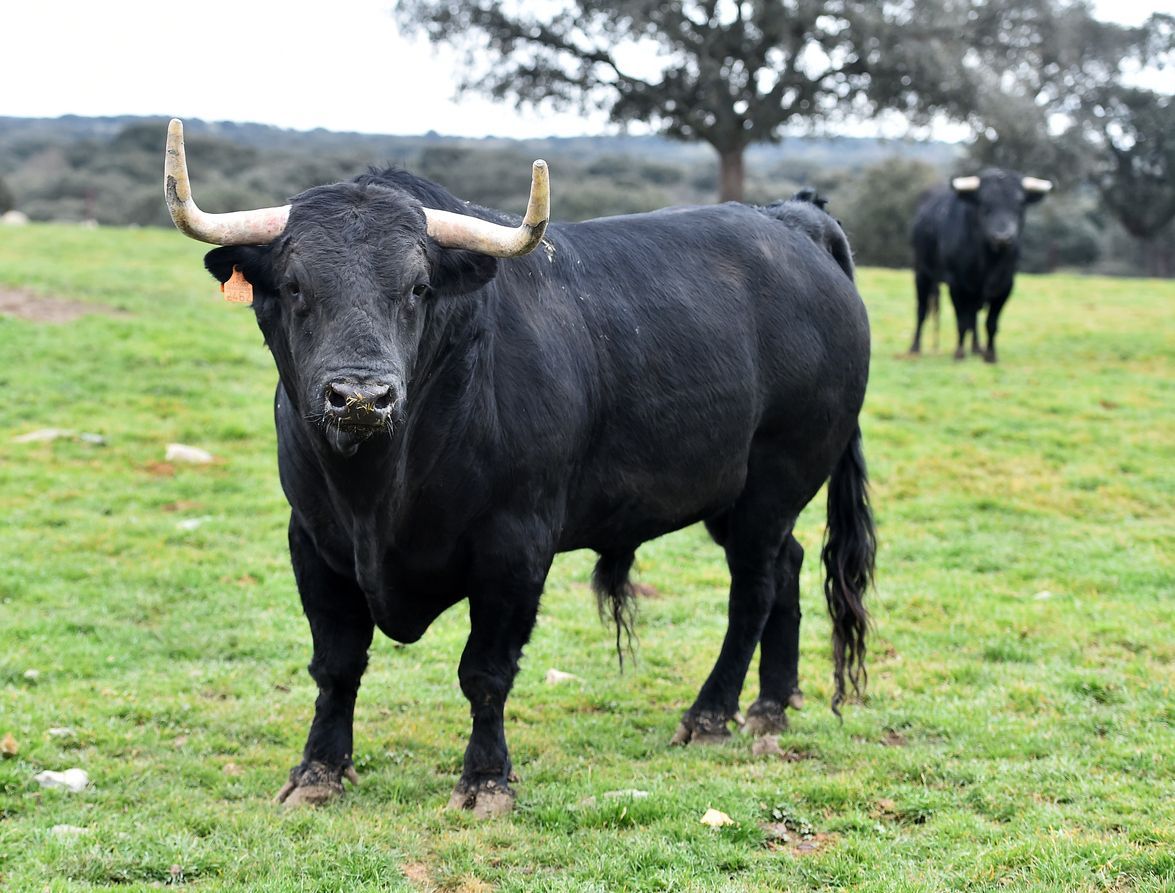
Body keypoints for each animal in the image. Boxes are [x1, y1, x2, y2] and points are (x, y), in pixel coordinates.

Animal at [162, 119, 875, 816]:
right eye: (294, 287)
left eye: (418, 288)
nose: (361, 397)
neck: (379, 491)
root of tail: (792, 220)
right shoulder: (313, 540)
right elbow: (336, 663)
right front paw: (318, 770)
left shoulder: (515, 547)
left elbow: (485, 671)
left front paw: (486, 780)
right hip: (740, 496)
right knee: (786, 567)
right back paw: (771, 706)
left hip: (775, 482)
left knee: (752, 589)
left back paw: (710, 715)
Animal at [908, 168, 1053, 363]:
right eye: (985, 203)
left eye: (1019, 203)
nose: (1002, 237)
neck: (989, 261)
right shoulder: (957, 285)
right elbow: (961, 321)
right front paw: (959, 352)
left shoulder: (1005, 286)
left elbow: (991, 322)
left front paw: (990, 354)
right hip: (922, 273)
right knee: (922, 310)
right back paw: (915, 348)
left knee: (974, 316)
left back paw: (977, 348)